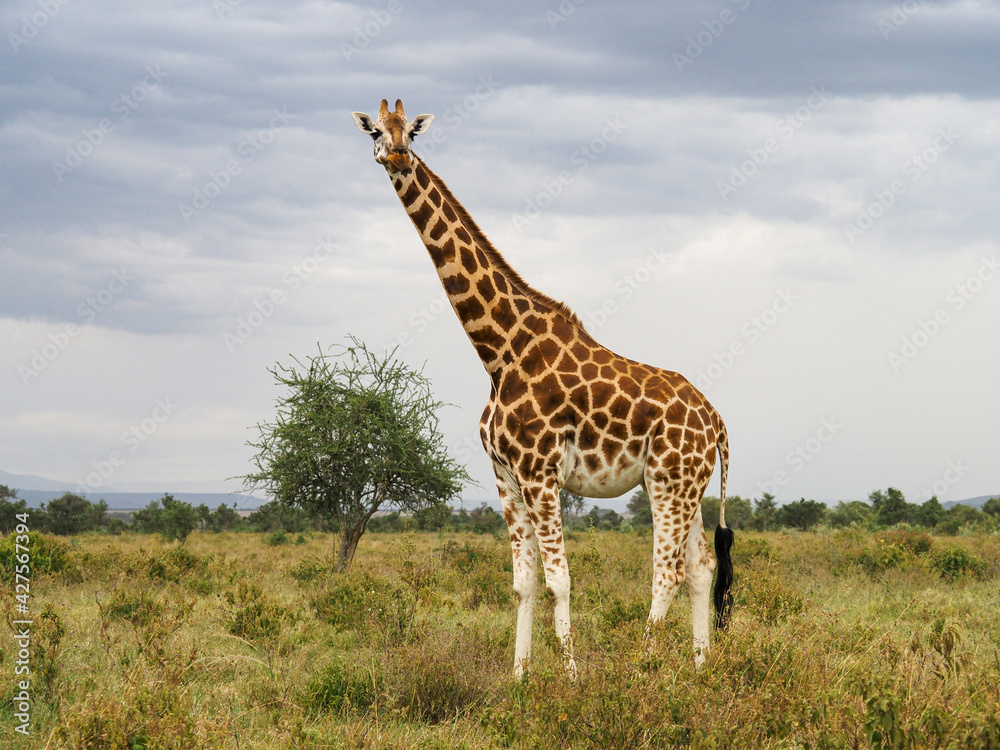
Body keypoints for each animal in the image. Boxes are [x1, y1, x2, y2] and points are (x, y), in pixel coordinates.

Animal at [352, 99, 734, 678]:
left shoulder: (541, 473)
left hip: (672, 480)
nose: (395, 153)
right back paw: (699, 671)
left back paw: (640, 672)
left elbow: (559, 581)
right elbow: (523, 583)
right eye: (375, 130)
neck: (499, 352)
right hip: (680, 484)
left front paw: (572, 679)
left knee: (666, 572)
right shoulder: (506, 478)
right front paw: (519, 677)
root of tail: (717, 422)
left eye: (411, 132)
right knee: (701, 567)